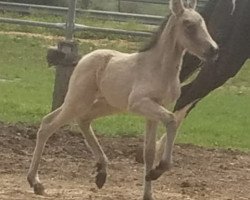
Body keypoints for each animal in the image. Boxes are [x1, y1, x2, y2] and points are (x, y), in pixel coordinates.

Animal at [27, 0, 218, 199]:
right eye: (188, 25)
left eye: (203, 22)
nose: (214, 50)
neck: (158, 68)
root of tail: (84, 58)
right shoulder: (139, 103)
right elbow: (172, 121)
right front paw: (158, 170)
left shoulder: (156, 109)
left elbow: (149, 151)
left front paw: (148, 191)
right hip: (79, 101)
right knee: (48, 126)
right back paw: (36, 183)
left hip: (103, 104)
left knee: (74, 120)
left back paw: (101, 172)